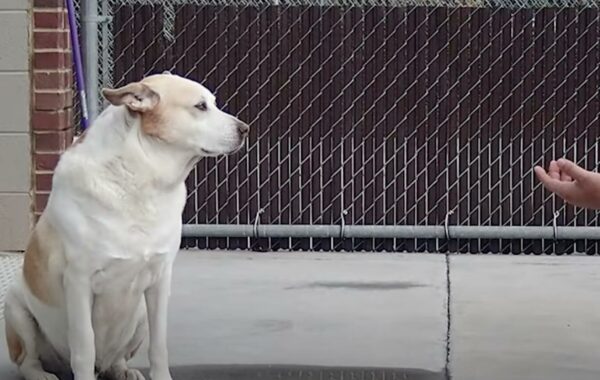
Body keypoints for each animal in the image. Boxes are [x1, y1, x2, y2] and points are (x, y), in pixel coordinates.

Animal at [2, 72, 248, 380]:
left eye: (213, 103)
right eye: (200, 106)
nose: (245, 129)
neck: (141, 176)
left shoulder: (160, 280)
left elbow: (159, 344)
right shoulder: (79, 282)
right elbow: (84, 347)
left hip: (139, 314)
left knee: (116, 358)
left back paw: (123, 370)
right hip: (15, 308)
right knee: (28, 361)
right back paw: (42, 375)